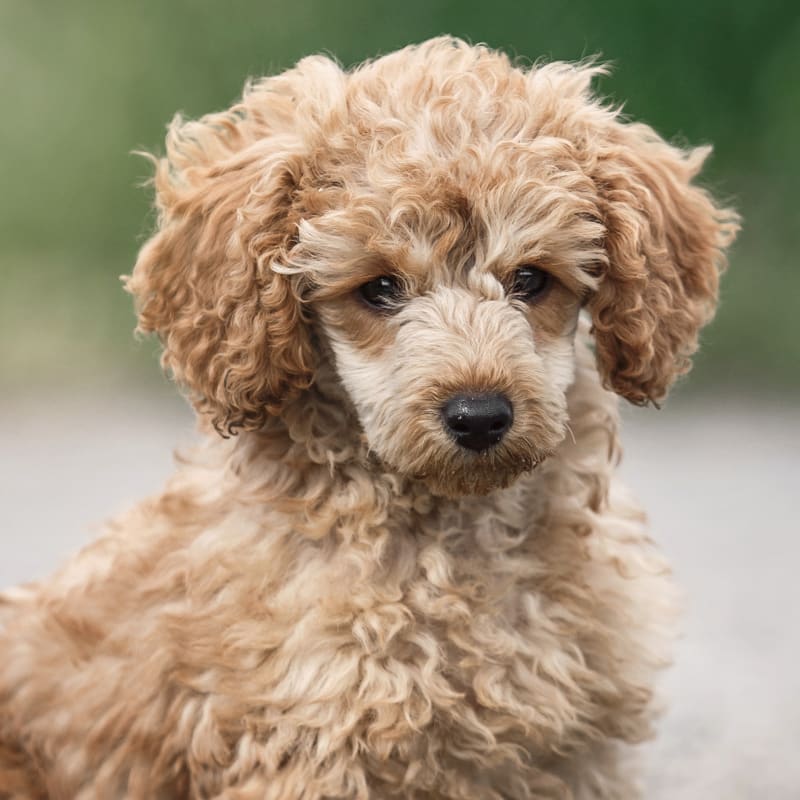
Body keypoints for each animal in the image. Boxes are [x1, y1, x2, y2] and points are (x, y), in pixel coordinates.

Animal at [0, 39, 736, 800]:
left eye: (532, 280)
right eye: (379, 288)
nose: (480, 415)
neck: (451, 543)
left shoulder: (572, 753)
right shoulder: (310, 742)